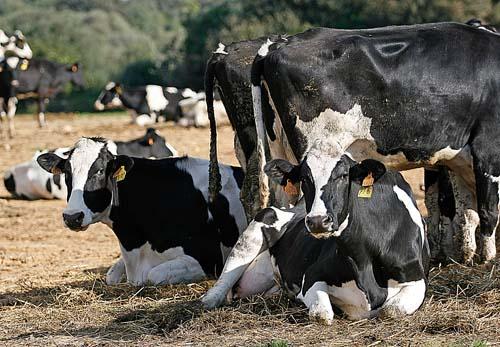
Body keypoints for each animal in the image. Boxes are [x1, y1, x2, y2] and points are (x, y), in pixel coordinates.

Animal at [36, 137, 246, 286]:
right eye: (67, 173)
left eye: (100, 171)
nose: (72, 217)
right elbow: (111, 275)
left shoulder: (209, 257)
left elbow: (154, 274)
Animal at [203, 158, 430, 324]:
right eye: (304, 177)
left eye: (343, 175)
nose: (318, 220)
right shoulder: (312, 275)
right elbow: (322, 314)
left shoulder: (417, 278)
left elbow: (390, 311)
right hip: (265, 217)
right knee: (228, 273)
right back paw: (208, 300)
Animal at [252, 23, 500, 262]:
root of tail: (280, 42)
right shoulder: (488, 151)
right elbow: (488, 210)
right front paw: (487, 258)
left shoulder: (459, 157)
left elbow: (466, 210)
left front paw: (467, 254)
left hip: (280, 151)